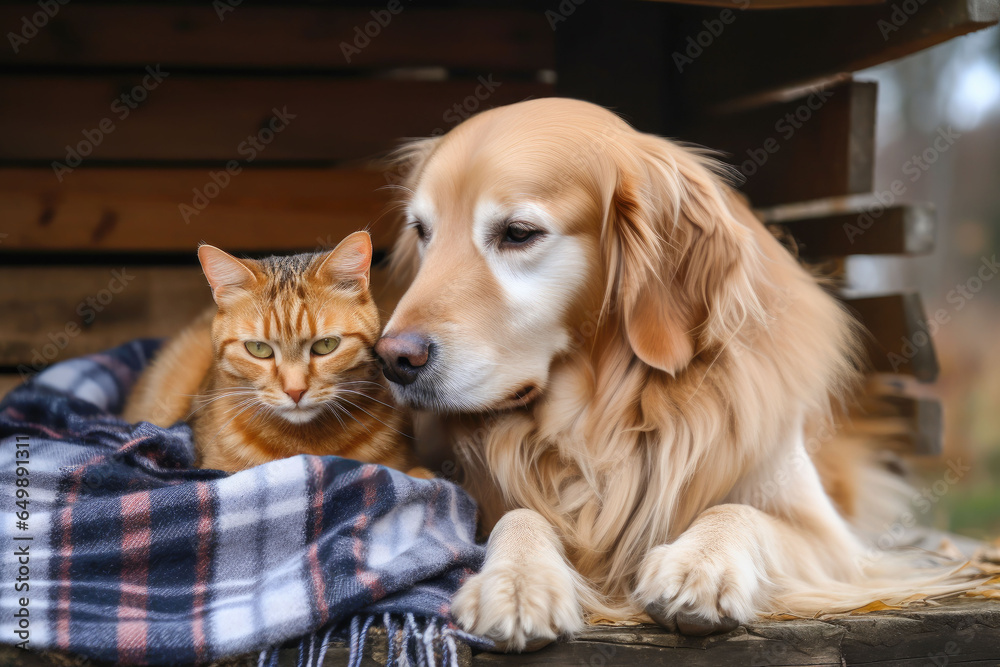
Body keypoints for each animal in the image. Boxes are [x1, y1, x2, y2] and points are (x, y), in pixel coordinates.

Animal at [374, 96, 976, 648]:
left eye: (518, 233)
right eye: (423, 231)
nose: (394, 359)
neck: (603, 419)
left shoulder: (833, 542)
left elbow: (740, 510)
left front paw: (700, 566)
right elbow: (518, 515)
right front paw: (517, 581)